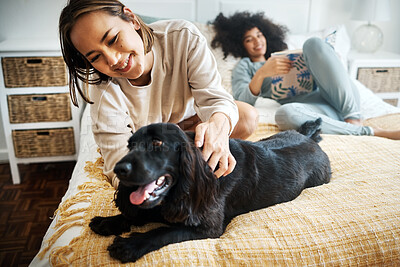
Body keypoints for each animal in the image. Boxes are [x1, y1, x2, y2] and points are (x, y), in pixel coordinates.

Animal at [90, 119, 332, 264]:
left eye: (157, 143)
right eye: (130, 145)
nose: (119, 169)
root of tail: (308, 138)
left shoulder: (208, 227)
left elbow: (163, 231)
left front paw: (130, 244)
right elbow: (139, 213)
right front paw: (108, 221)